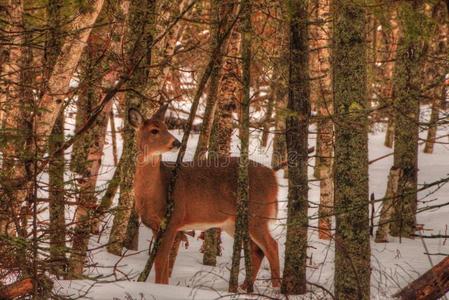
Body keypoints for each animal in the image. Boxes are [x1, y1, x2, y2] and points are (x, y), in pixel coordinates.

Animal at [128, 105, 278, 288]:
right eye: (154, 130)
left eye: (166, 127)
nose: (176, 142)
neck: (157, 189)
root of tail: (273, 178)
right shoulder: (157, 227)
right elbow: (162, 262)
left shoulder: (173, 220)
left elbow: (161, 261)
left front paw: (160, 286)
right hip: (234, 221)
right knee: (257, 251)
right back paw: (244, 288)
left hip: (257, 214)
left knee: (272, 246)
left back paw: (277, 289)